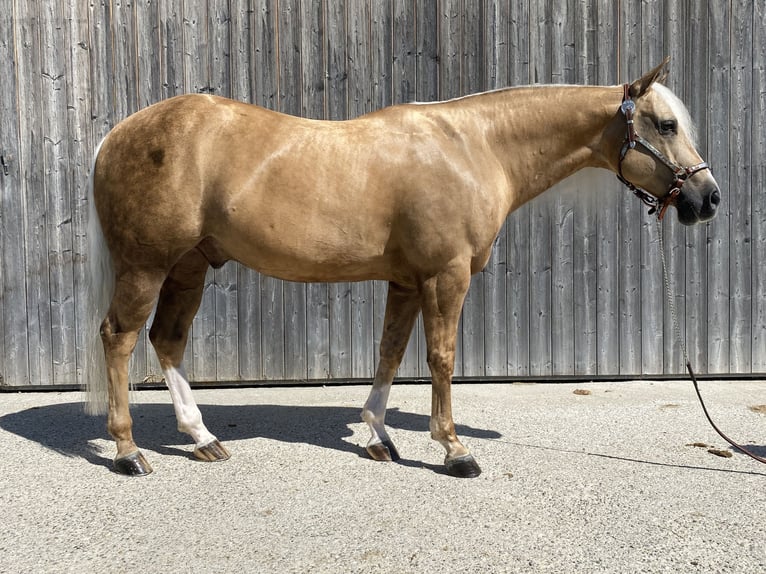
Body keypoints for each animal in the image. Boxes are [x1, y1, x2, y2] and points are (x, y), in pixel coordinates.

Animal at [87, 59, 724, 482]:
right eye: (666, 125)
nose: (708, 198)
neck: (475, 148)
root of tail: (117, 135)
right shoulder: (446, 276)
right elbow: (440, 358)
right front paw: (455, 449)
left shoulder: (405, 280)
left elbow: (390, 352)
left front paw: (378, 435)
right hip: (146, 266)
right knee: (119, 339)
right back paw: (127, 451)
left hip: (188, 267)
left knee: (167, 341)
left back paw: (202, 438)